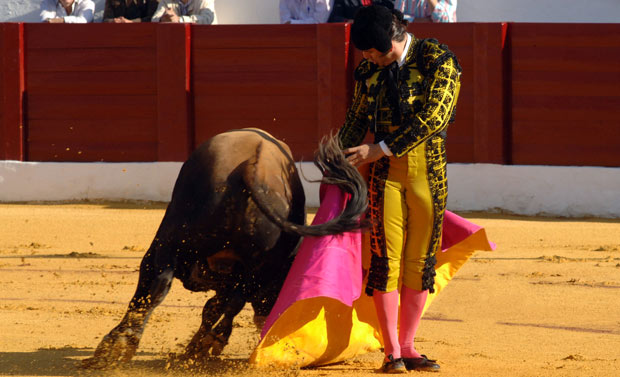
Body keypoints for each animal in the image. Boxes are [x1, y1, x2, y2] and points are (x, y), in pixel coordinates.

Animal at [83, 129, 368, 368]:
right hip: (254, 264)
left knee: (159, 286)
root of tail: (252, 169)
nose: (266, 315)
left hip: (170, 240)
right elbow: (217, 306)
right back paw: (202, 345)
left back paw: (121, 347)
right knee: (229, 300)